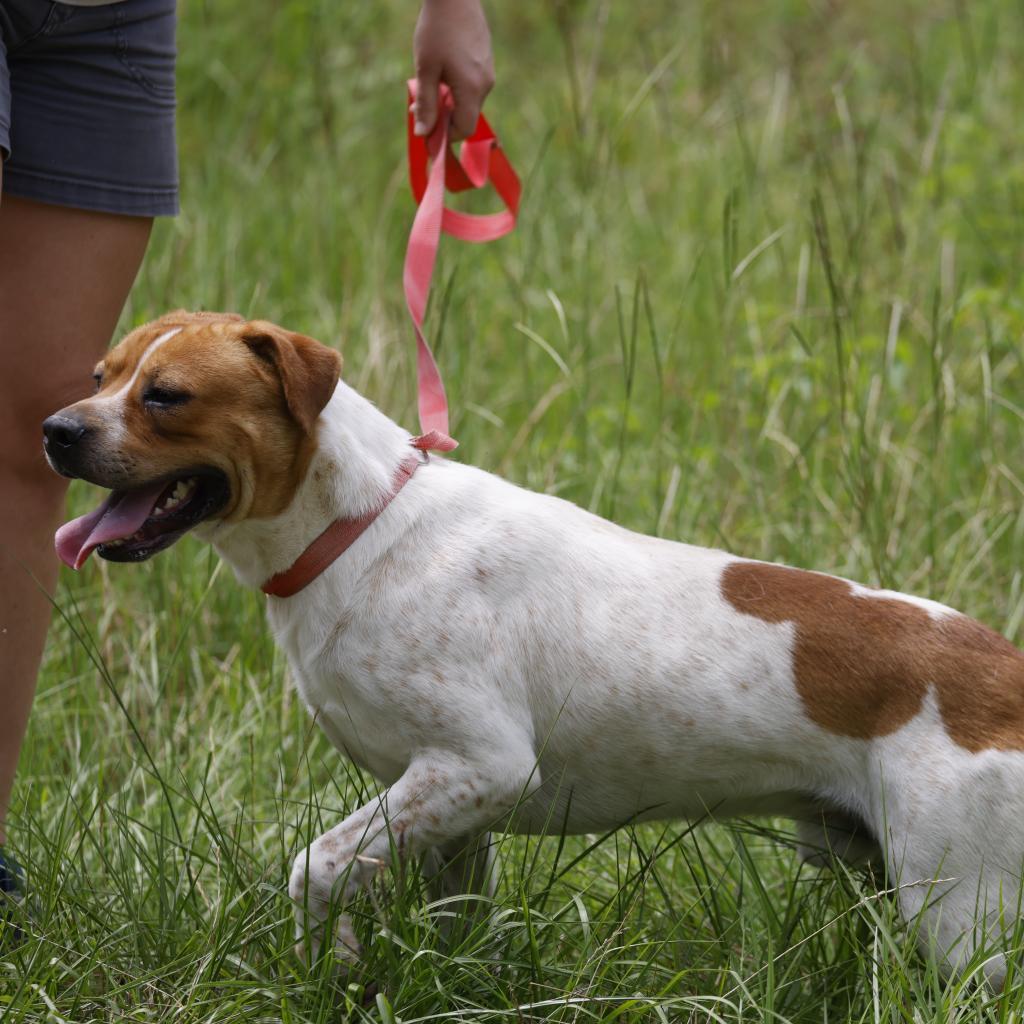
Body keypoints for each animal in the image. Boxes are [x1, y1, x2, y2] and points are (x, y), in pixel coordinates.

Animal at [44, 309, 1024, 983]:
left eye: (166, 395)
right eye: (100, 373)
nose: (57, 430)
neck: (363, 531)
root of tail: (1004, 667)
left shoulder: (481, 763)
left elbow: (314, 868)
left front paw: (331, 964)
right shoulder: (449, 807)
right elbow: (449, 920)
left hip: (958, 913)